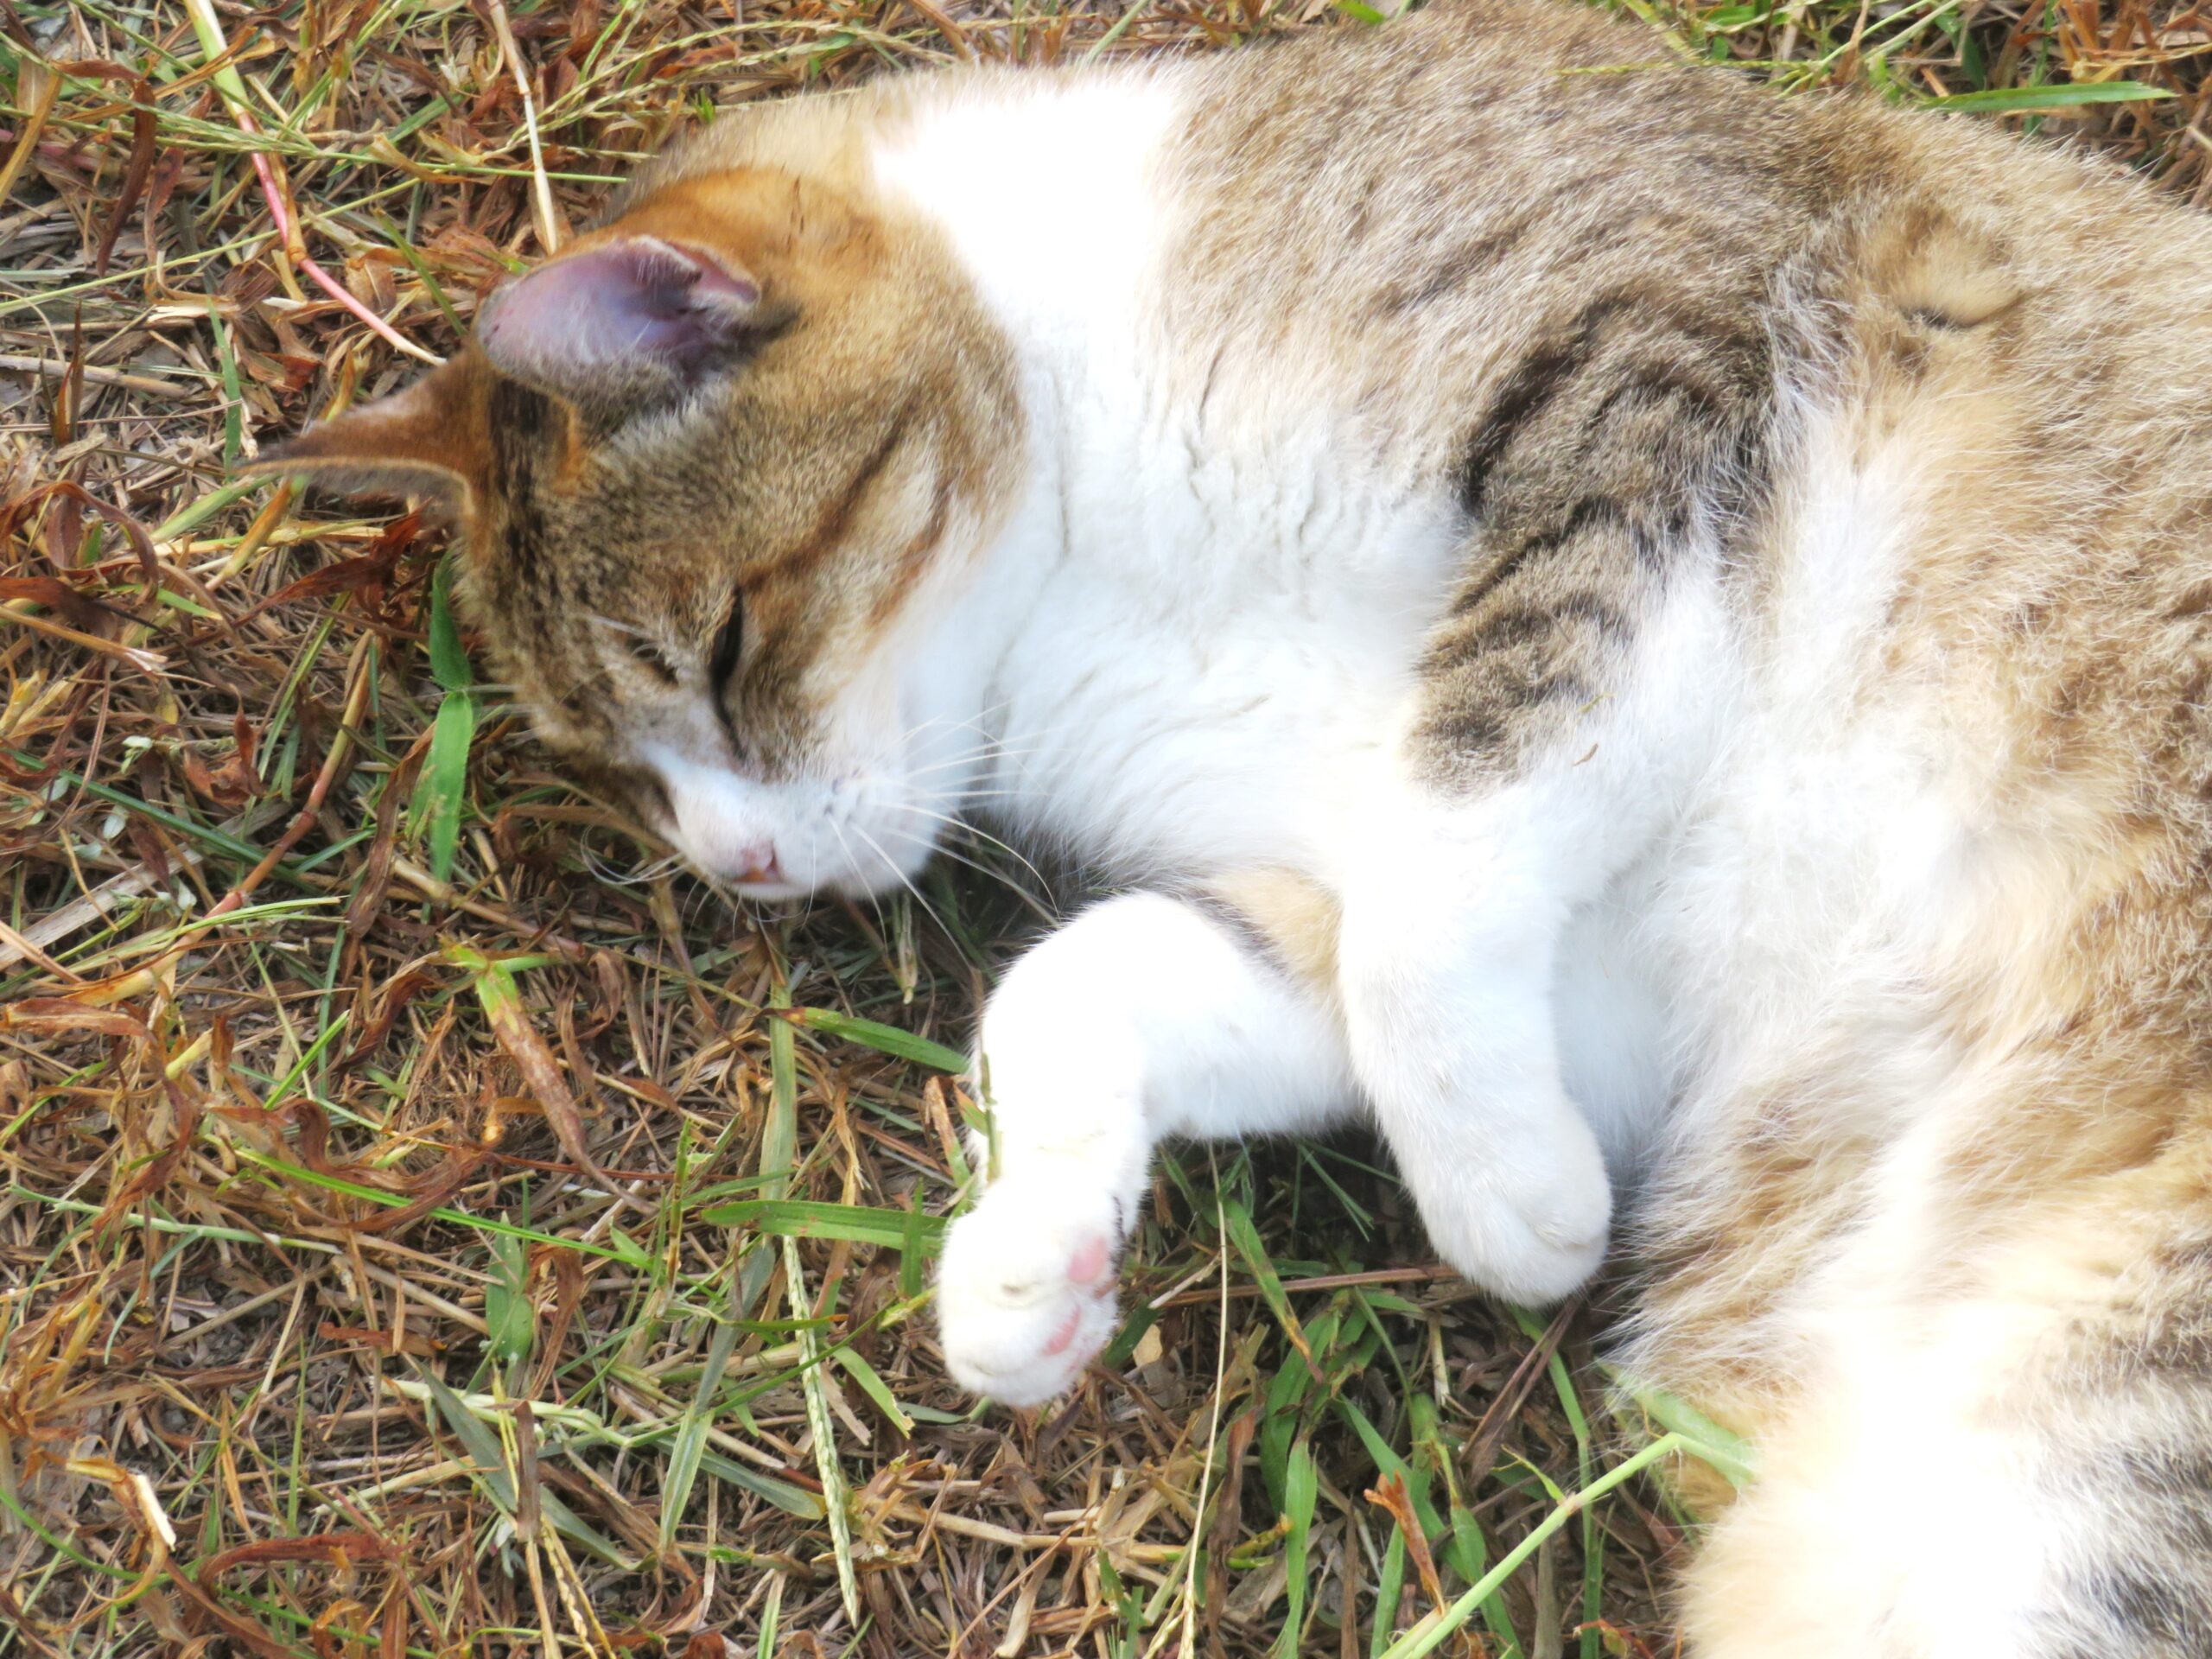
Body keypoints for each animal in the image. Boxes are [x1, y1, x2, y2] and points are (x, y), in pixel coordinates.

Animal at [251, 6, 2212, 1654]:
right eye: (620, 770)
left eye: (721, 647)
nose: (745, 871)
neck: (1079, 537)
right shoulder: (1556, 955)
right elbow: (1098, 976)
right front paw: (1029, 1256)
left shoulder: (1654, 373)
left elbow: (1437, 894)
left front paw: (1512, 1208)